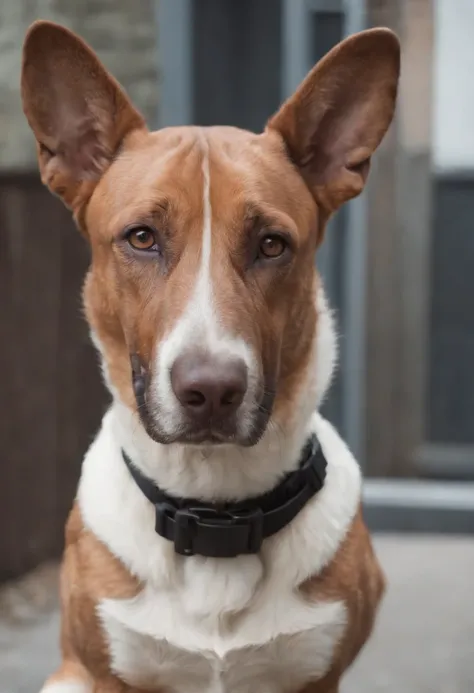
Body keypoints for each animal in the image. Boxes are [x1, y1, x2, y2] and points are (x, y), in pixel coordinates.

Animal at [21, 20, 400, 692]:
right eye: (141, 238)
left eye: (272, 245)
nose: (212, 392)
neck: (216, 513)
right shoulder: (103, 673)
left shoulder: (318, 678)